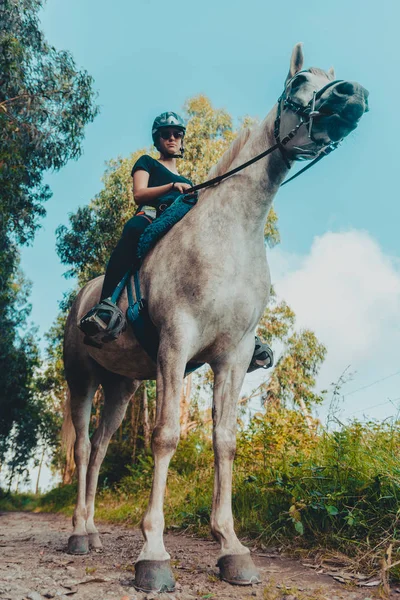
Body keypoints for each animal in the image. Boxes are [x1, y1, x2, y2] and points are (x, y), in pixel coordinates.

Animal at [63, 44, 368, 592]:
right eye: (298, 83)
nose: (351, 95)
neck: (231, 235)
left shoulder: (234, 355)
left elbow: (224, 442)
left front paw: (231, 548)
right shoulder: (176, 343)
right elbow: (166, 436)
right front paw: (153, 554)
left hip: (121, 389)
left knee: (98, 449)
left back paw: (93, 531)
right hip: (82, 380)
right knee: (80, 449)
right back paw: (78, 534)